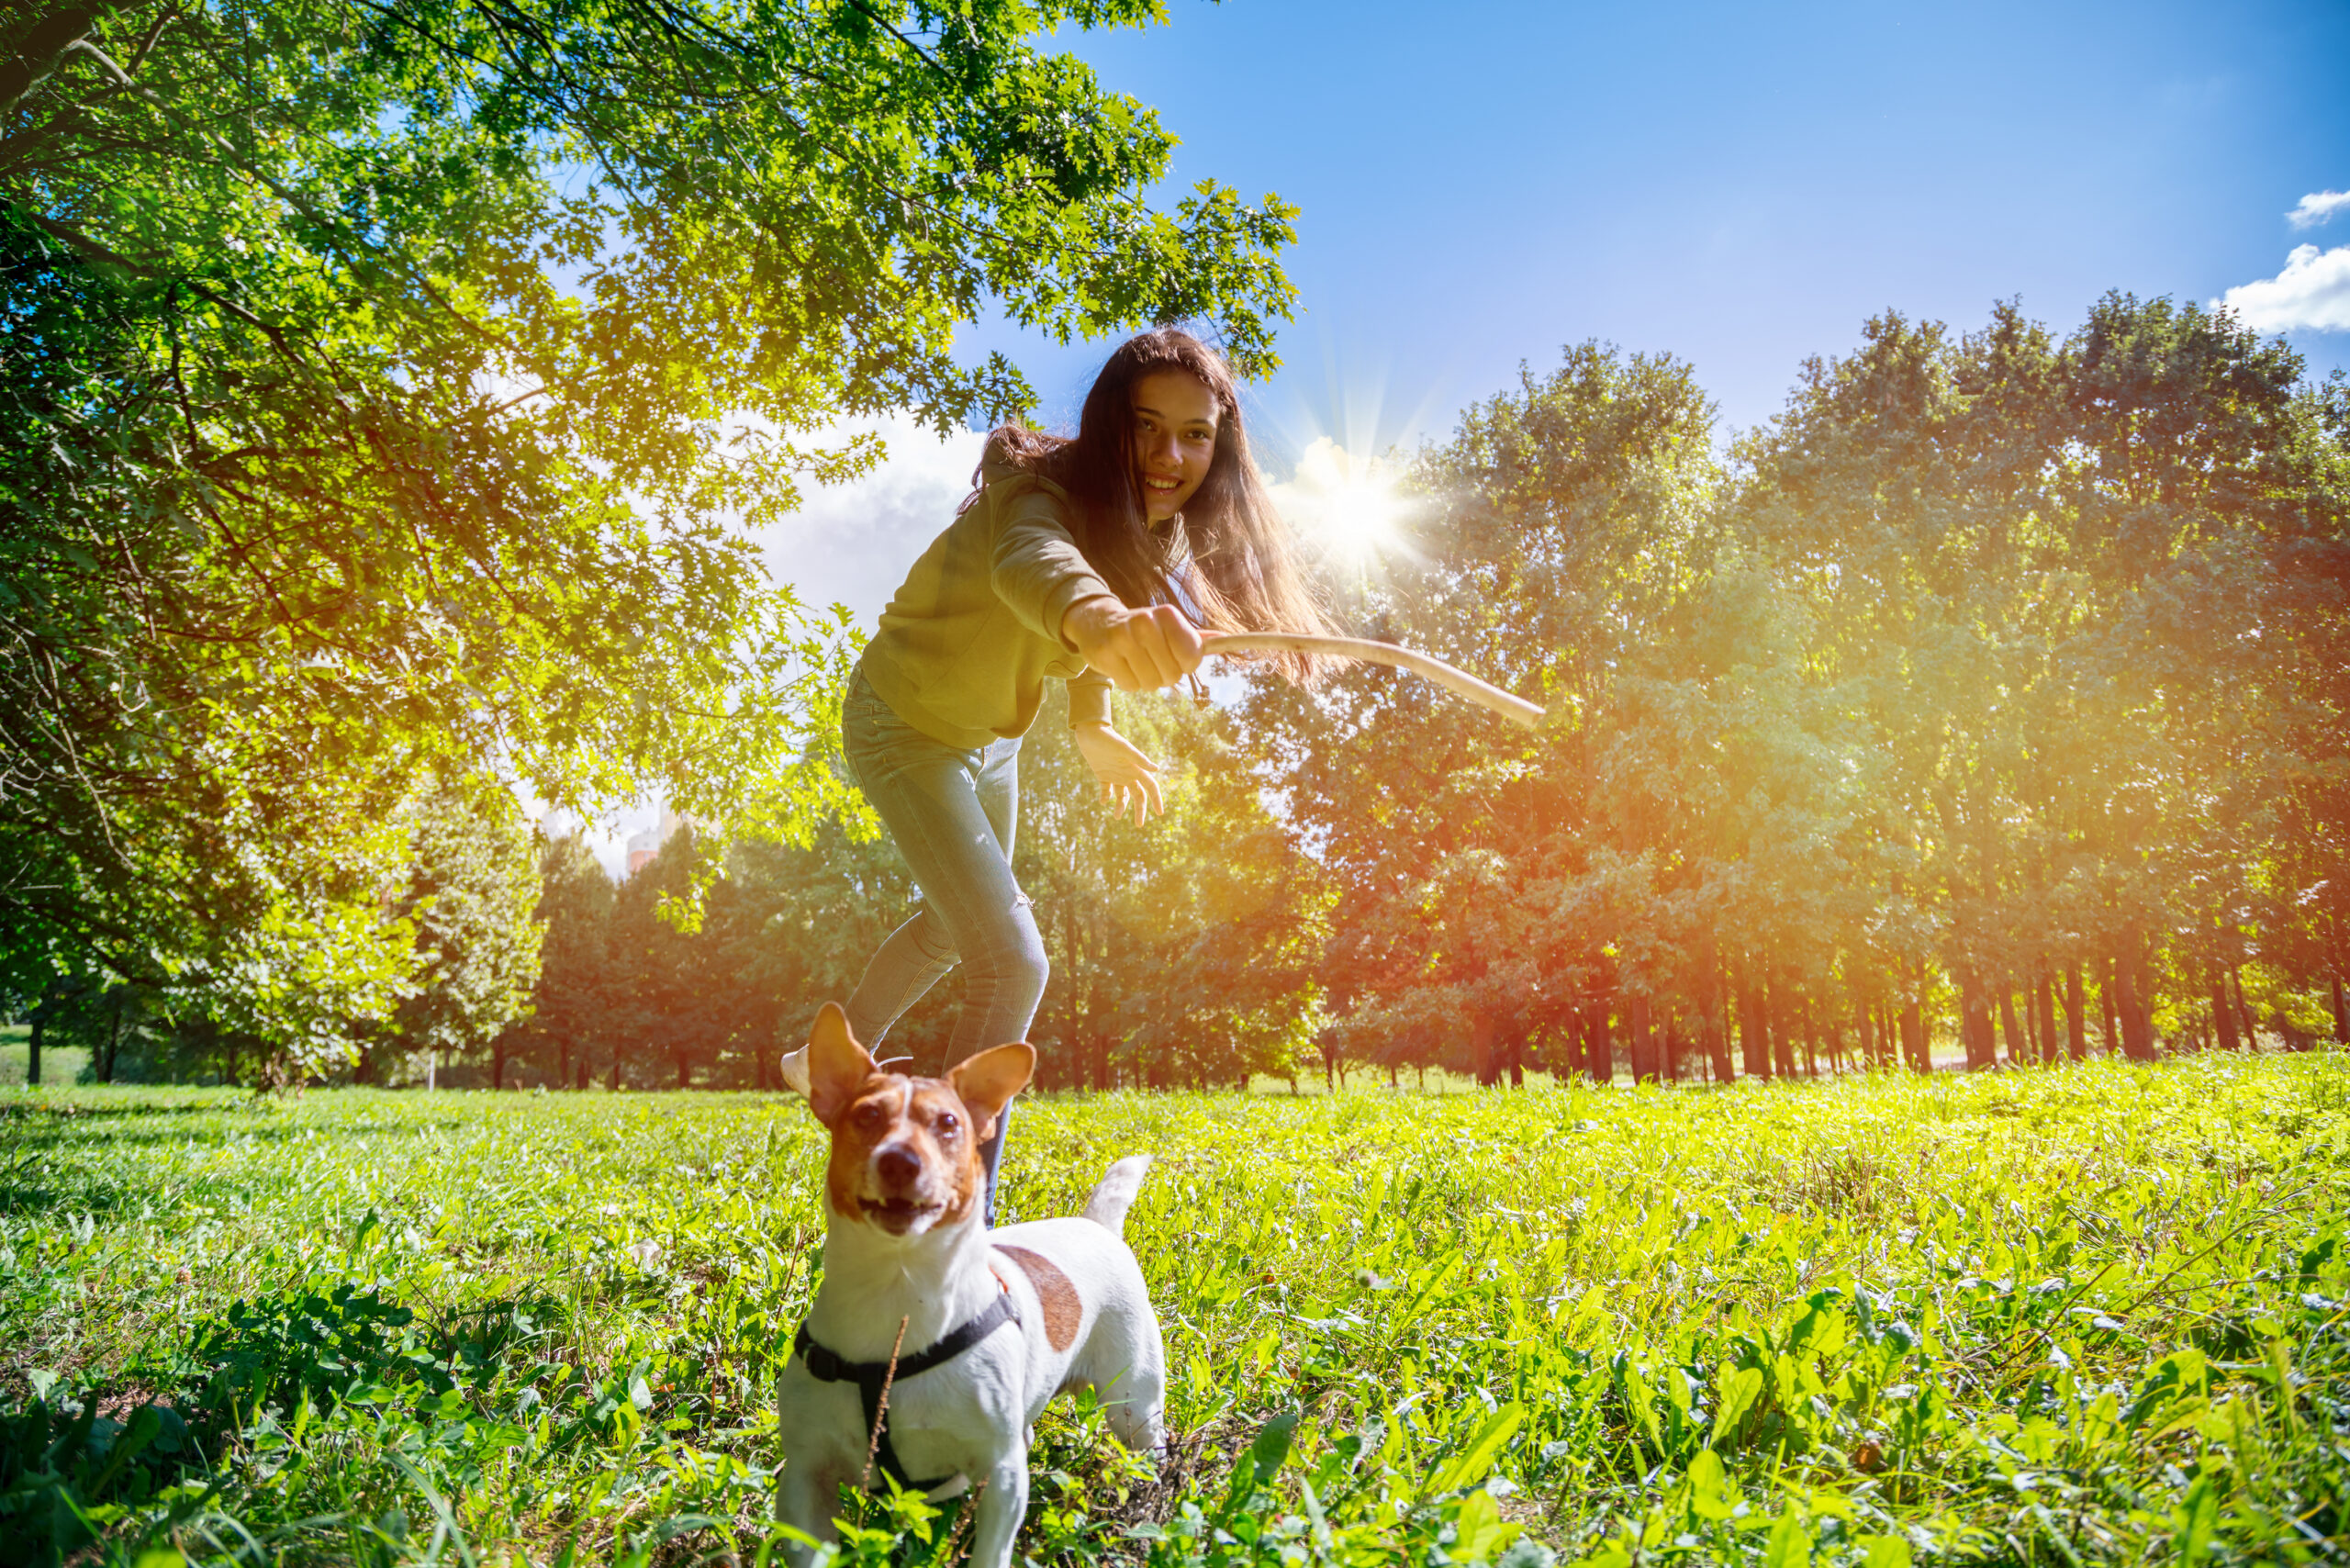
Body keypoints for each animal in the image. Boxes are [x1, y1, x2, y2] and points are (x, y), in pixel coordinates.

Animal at [775, 1005, 1169, 1568]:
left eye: (948, 1123)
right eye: (866, 1116)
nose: (900, 1161)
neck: (898, 1292)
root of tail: (1096, 1226)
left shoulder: (1001, 1473)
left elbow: (991, 1549)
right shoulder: (806, 1477)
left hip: (1134, 1406)